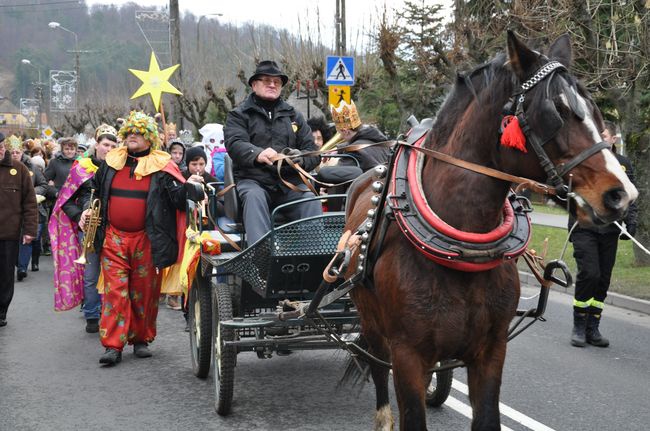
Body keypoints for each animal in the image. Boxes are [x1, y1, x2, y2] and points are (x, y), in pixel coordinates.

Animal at [342, 32, 636, 430]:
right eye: (555, 113)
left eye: (595, 111)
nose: (622, 194)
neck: (460, 254)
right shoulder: (407, 354)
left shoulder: (491, 350)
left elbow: (487, 418)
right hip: (371, 321)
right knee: (375, 365)